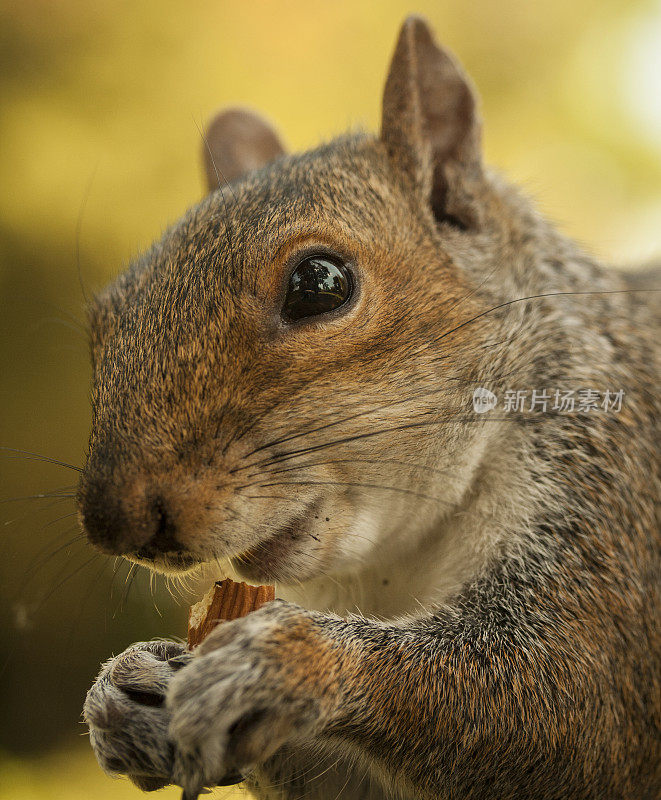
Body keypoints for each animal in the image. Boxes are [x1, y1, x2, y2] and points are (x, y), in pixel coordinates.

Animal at [81, 14, 660, 800]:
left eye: (319, 282)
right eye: (103, 322)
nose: (115, 521)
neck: (398, 559)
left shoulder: (610, 509)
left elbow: (566, 704)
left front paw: (287, 660)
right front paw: (129, 689)